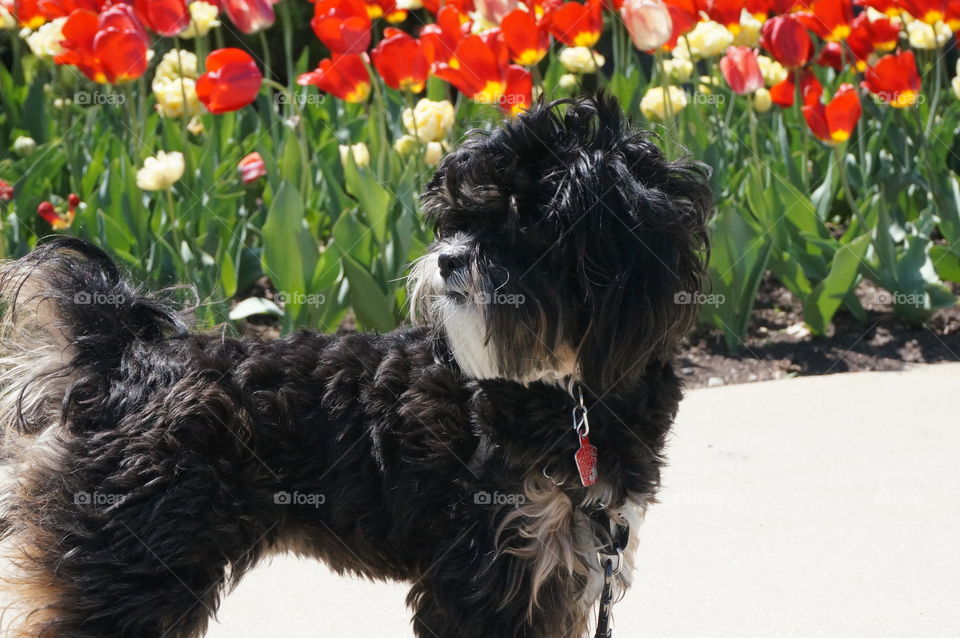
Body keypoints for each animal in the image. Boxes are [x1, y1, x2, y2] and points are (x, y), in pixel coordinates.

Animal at [0, 96, 704, 638]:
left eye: (527, 224)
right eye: (464, 219)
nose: (449, 257)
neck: (572, 394)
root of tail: (121, 355)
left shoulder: (559, 564)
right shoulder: (490, 571)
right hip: (133, 562)